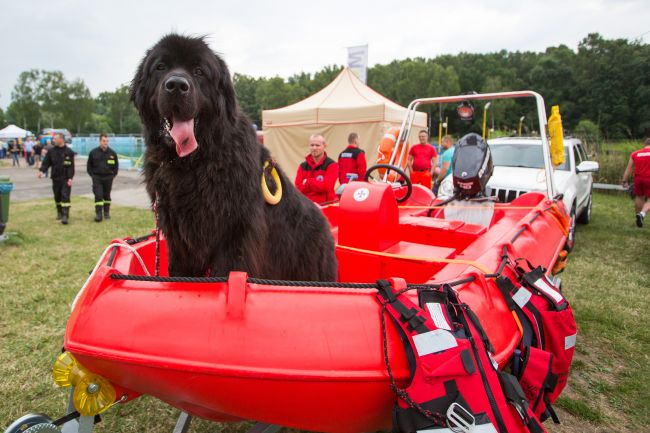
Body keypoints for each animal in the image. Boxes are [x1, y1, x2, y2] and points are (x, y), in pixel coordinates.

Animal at [130, 34, 337, 280]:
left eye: (199, 71)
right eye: (160, 67)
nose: (177, 85)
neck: (194, 162)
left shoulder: (237, 232)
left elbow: (229, 270)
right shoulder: (179, 236)